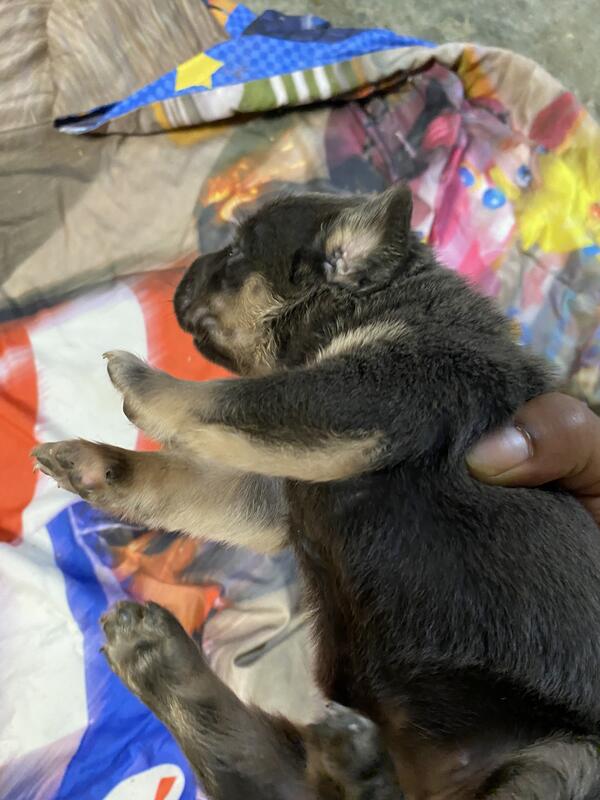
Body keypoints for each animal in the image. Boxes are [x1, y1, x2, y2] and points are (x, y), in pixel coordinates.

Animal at [33, 185, 600, 799]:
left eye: (237, 253)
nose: (186, 269)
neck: (380, 298)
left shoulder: (363, 394)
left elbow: (226, 400)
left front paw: (140, 380)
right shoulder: (276, 491)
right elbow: (185, 477)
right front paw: (96, 463)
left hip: (565, 761)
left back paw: (357, 764)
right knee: (264, 770)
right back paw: (158, 659)